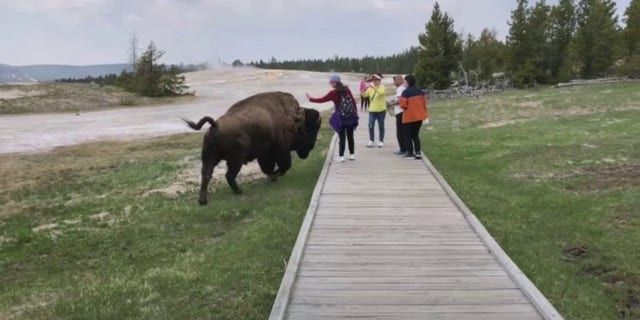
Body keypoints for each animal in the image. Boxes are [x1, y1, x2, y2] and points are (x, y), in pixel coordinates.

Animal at [182, 91, 322, 204]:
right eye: (312, 129)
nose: (311, 146)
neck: (295, 119)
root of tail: (216, 124)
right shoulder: (281, 150)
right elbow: (285, 166)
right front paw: (272, 177)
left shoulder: (265, 156)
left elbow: (269, 167)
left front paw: (271, 177)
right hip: (236, 159)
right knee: (229, 175)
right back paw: (238, 191)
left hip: (210, 157)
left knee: (206, 174)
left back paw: (203, 200)